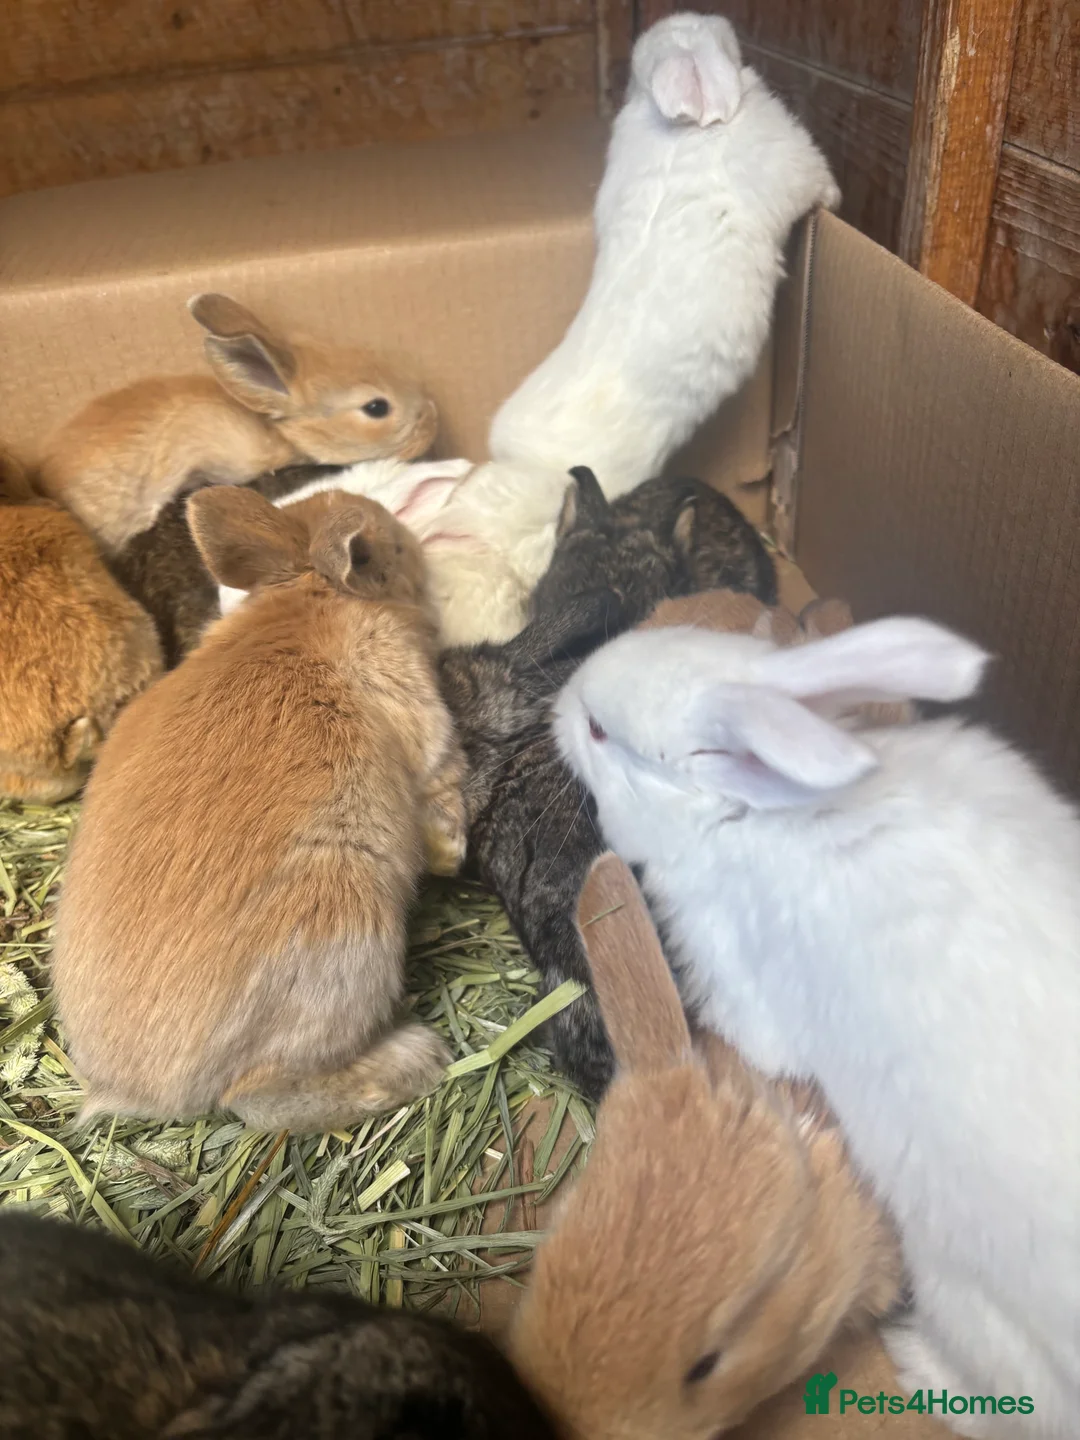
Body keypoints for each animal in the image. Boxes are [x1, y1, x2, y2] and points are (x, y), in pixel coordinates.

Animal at [51, 484, 469, 1131]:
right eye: (392, 549)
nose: (416, 546)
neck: (310, 596)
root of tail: (140, 1090)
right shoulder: (418, 716)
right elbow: (441, 781)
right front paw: (453, 854)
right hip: (343, 936)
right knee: (259, 1097)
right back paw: (418, 1058)